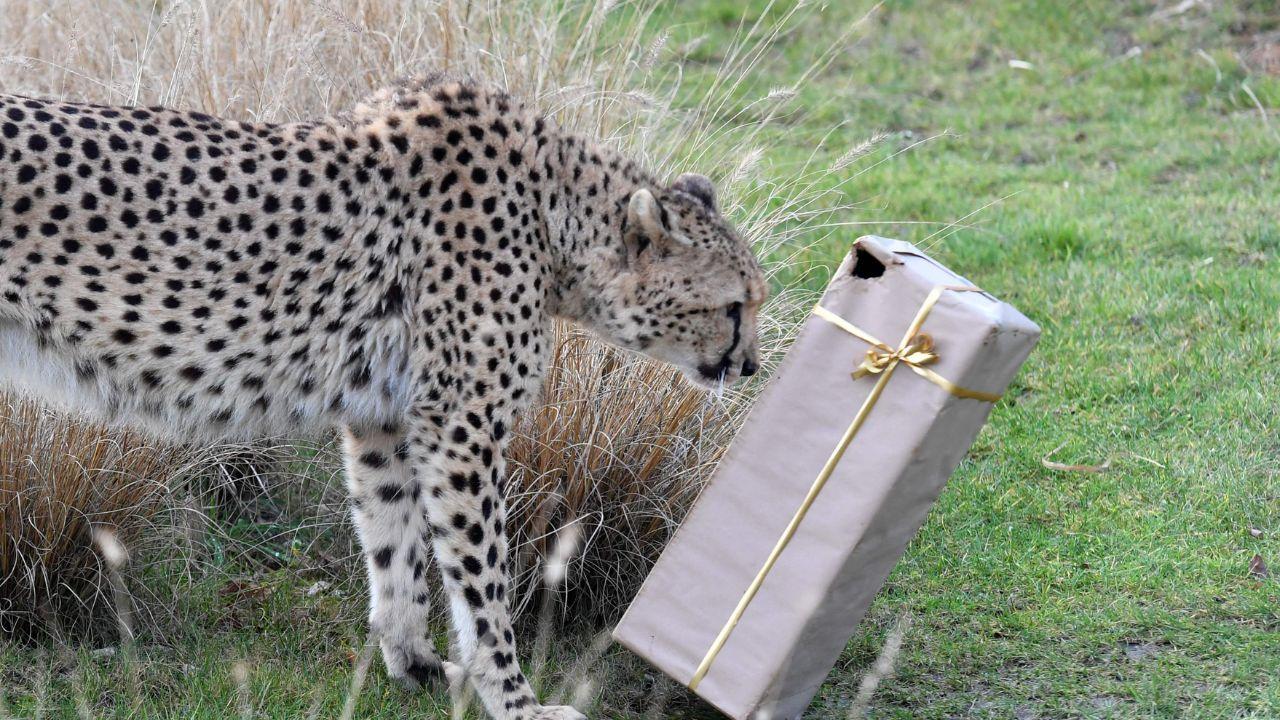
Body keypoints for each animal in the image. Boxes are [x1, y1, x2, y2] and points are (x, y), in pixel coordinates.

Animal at [0, 74, 766, 719]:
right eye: (733, 306)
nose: (752, 366)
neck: (555, 224)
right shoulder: (462, 424)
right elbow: (481, 582)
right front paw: (516, 702)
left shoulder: (384, 419)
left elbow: (395, 547)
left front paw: (416, 667)